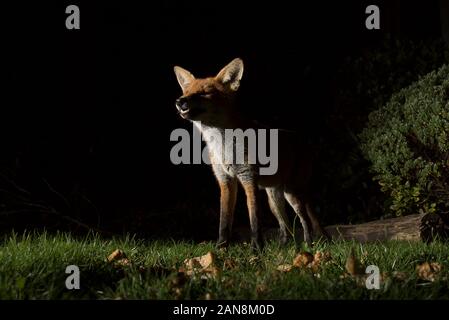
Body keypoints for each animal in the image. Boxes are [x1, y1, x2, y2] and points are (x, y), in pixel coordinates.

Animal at [173, 58, 324, 248]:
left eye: (205, 92)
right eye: (186, 91)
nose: (180, 101)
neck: (223, 146)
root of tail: (304, 141)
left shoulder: (248, 178)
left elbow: (254, 219)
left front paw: (257, 248)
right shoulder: (225, 180)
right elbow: (224, 221)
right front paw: (221, 247)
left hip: (292, 194)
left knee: (305, 220)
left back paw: (308, 245)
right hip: (273, 200)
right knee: (286, 226)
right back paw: (285, 247)